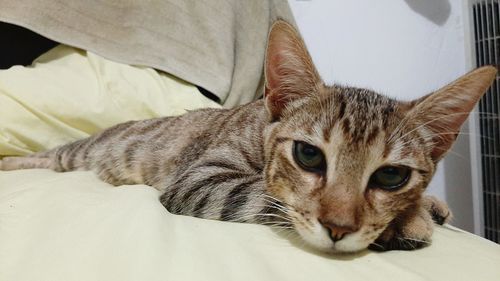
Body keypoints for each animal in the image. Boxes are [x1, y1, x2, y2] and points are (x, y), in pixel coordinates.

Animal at [0, 19, 496, 252]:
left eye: (391, 176)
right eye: (309, 156)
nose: (340, 227)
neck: (260, 127)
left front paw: (426, 205)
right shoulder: (200, 181)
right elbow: (267, 198)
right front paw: (410, 220)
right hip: (82, 152)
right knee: (50, 155)